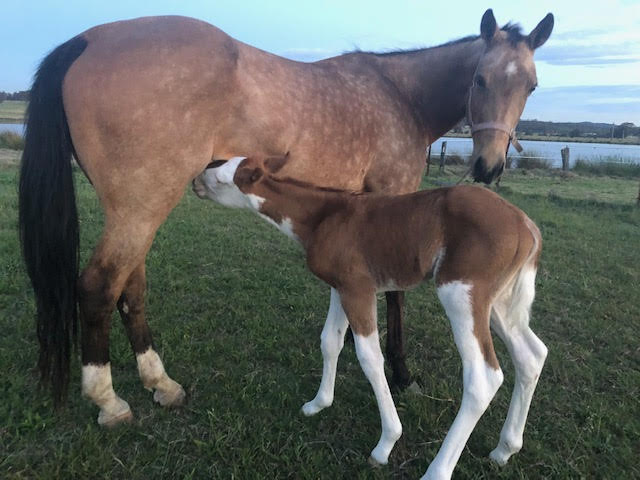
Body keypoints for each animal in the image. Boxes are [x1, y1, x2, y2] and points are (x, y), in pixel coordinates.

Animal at [17, 9, 552, 426]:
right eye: (480, 79)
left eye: (531, 85)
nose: (488, 167)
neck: (400, 95)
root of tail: (88, 40)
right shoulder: (393, 198)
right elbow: (396, 295)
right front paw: (401, 374)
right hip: (141, 206)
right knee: (99, 287)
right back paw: (109, 401)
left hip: (135, 208)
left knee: (130, 287)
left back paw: (161, 384)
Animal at [192, 156, 548, 478]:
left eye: (222, 179)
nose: (195, 182)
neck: (323, 217)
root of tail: (527, 226)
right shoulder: (340, 286)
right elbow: (330, 340)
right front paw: (319, 403)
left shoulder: (359, 288)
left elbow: (369, 357)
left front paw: (386, 443)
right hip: (500, 301)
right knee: (532, 354)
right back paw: (505, 449)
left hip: (461, 292)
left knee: (483, 377)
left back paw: (437, 470)